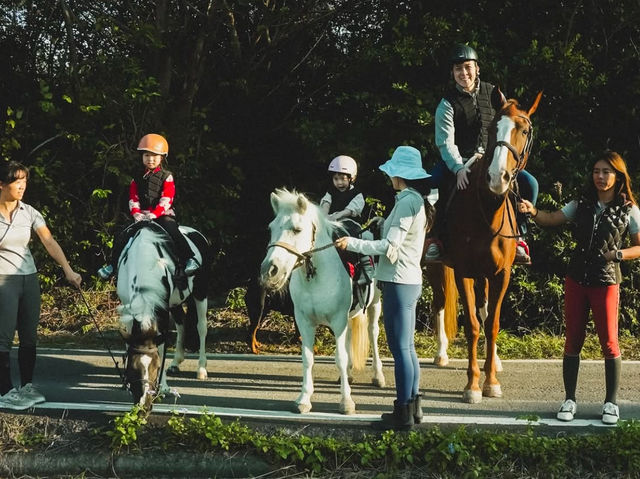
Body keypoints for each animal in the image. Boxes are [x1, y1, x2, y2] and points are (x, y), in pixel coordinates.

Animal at [117, 222, 210, 408]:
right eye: (133, 368)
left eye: (155, 367)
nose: (143, 401)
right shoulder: (128, 309)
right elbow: (129, 342)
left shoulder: (162, 310)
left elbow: (161, 346)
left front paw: (164, 387)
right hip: (175, 304)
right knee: (181, 325)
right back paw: (176, 362)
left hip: (201, 292)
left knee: (202, 327)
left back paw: (201, 369)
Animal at [260, 189, 384, 414]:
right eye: (271, 228)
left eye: (297, 229)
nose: (270, 271)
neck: (315, 276)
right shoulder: (305, 322)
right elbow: (308, 359)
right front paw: (303, 399)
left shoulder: (337, 320)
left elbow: (340, 358)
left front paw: (346, 402)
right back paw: (349, 375)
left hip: (375, 305)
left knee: (373, 333)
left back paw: (378, 376)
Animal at [428, 88, 544, 404]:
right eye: (493, 129)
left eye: (525, 130)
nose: (496, 178)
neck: (486, 211)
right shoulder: (463, 272)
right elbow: (472, 326)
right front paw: (472, 385)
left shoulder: (501, 274)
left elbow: (491, 323)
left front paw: (491, 381)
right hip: (434, 270)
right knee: (440, 304)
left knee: (482, 310)